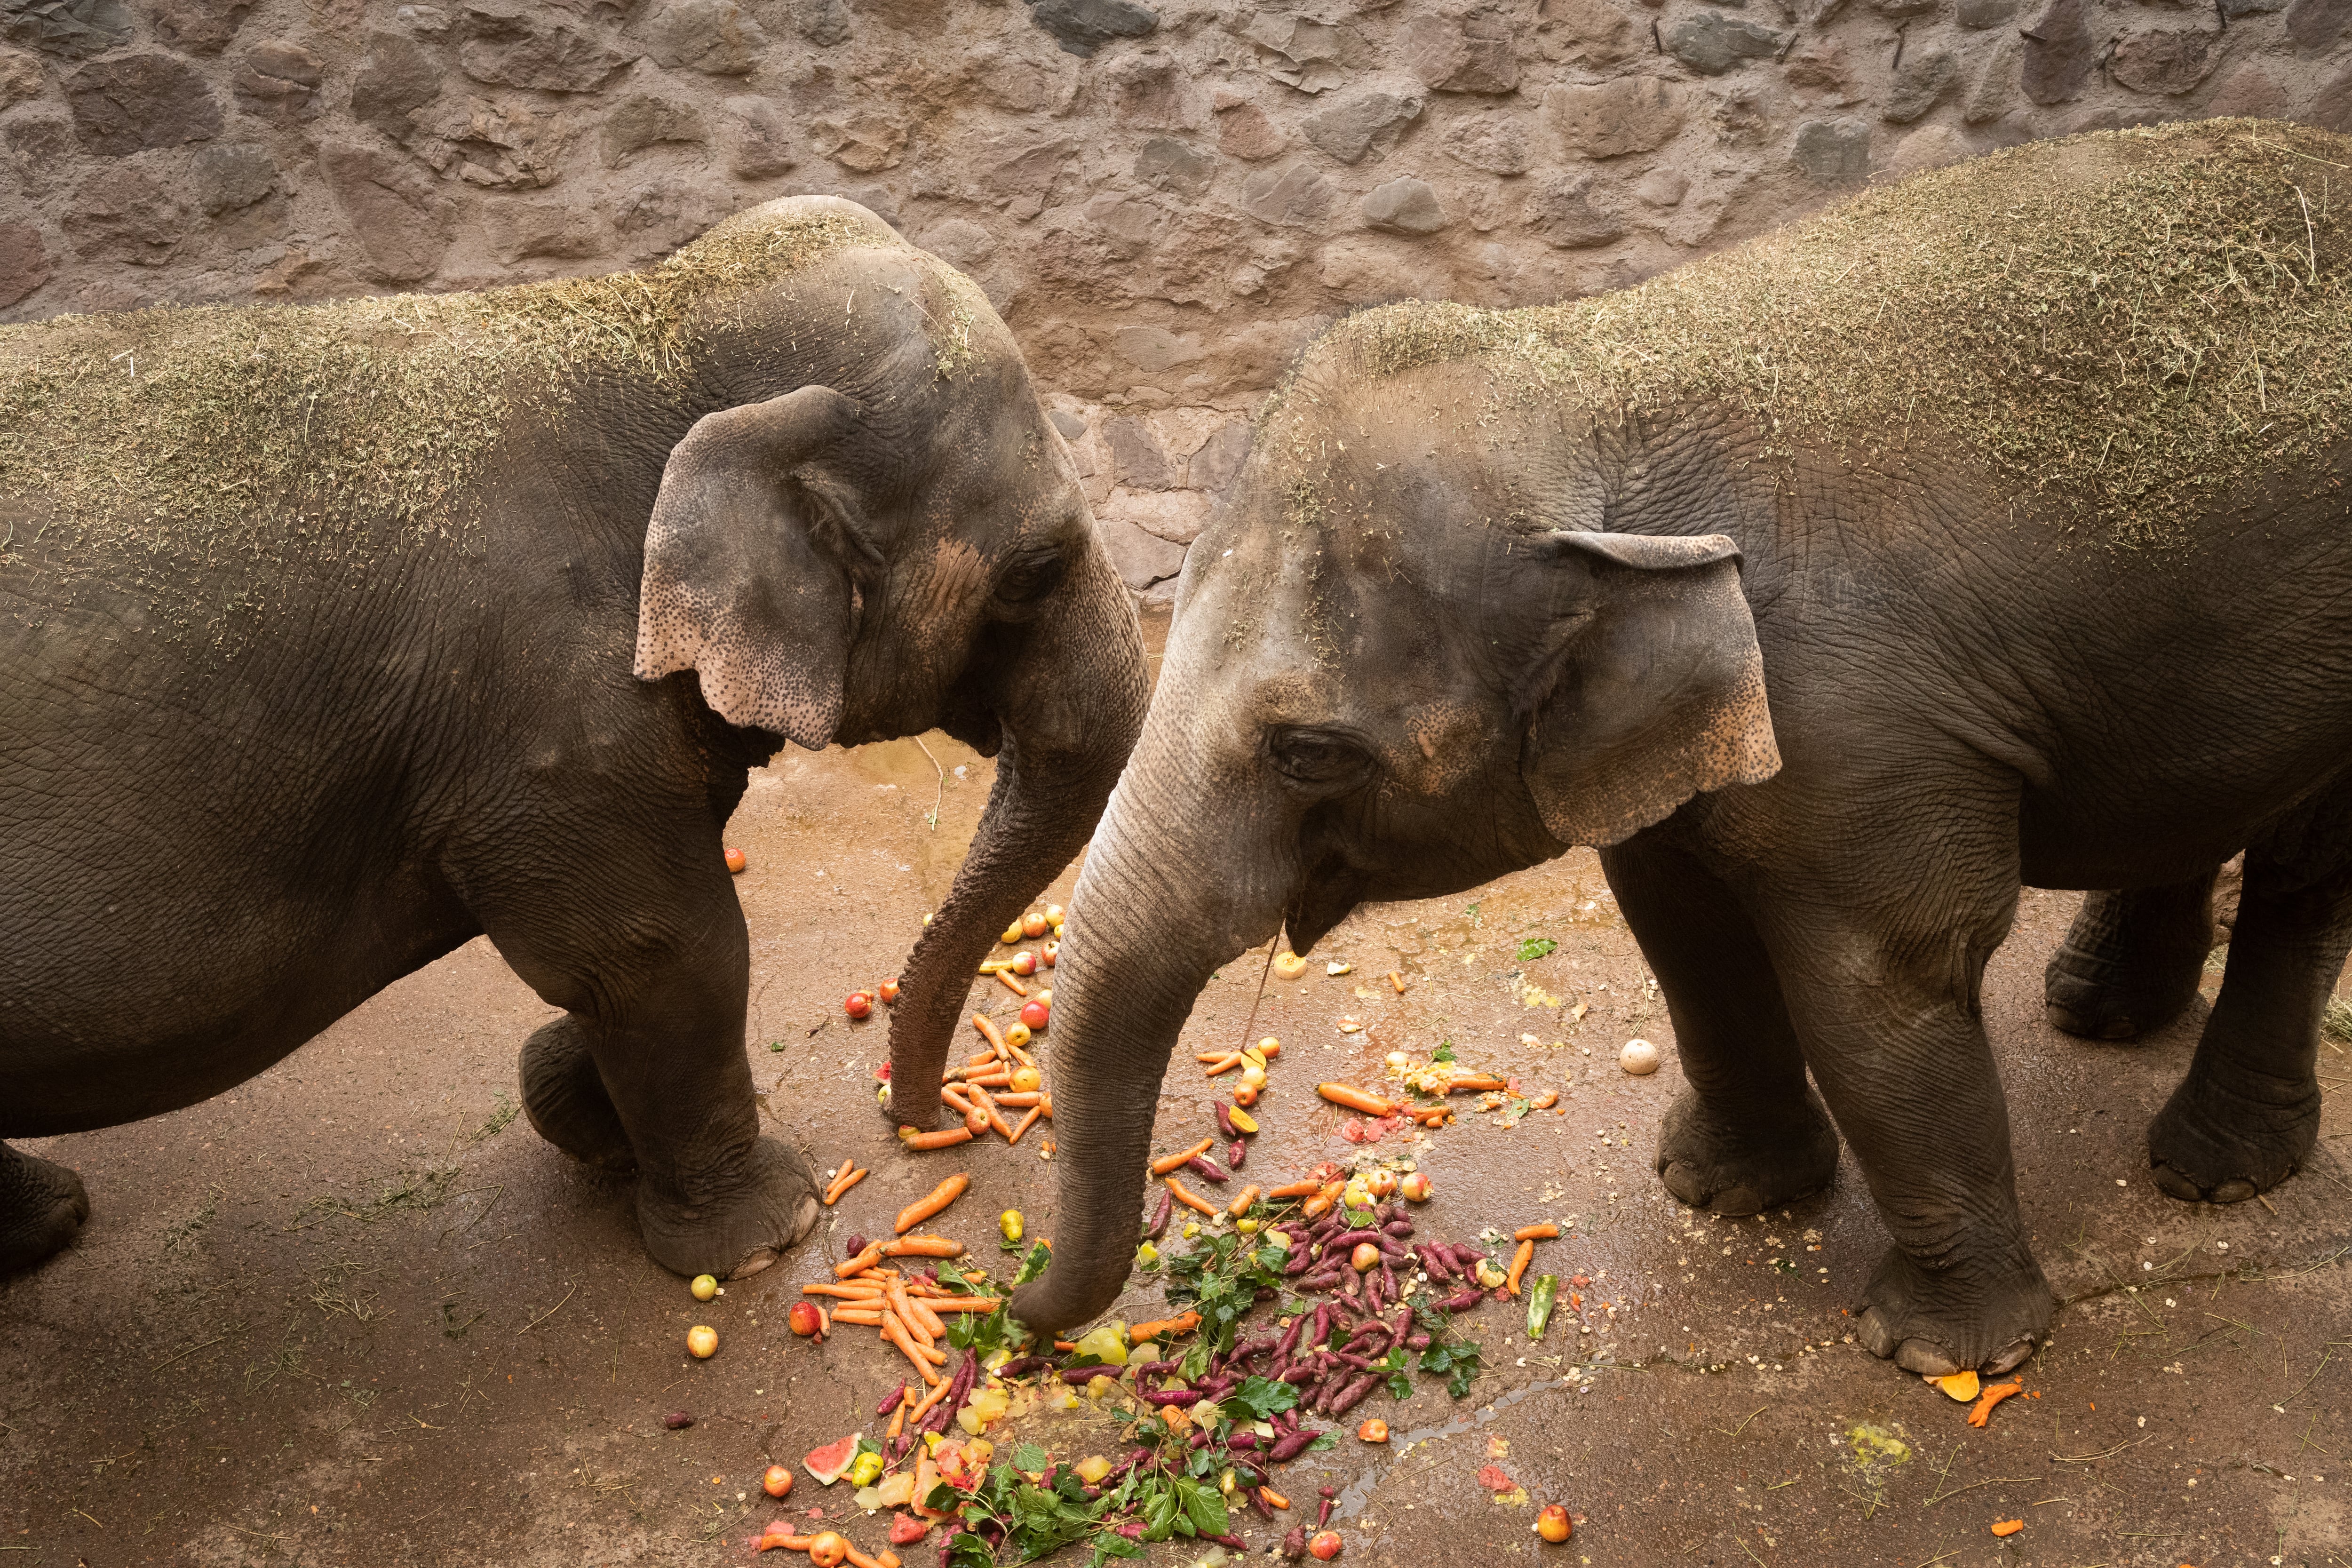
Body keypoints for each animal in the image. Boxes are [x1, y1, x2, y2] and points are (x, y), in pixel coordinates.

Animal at [0, 196, 1143, 1279]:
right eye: (1036, 569)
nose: (932, 1120)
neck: (654, 321)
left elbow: (632, 961)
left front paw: (585, 1114)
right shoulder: (548, 709)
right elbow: (663, 949)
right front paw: (766, 1232)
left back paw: (50, 1221)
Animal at [1007, 123, 2352, 1373]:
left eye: (1306, 752)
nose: (1018, 1312)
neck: (1595, 371)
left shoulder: (1864, 723)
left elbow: (1882, 983)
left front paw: (1947, 1355)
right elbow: (1682, 928)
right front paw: (1718, 1193)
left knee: (2306, 877)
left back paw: (2215, 1170)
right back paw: (2097, 1012)